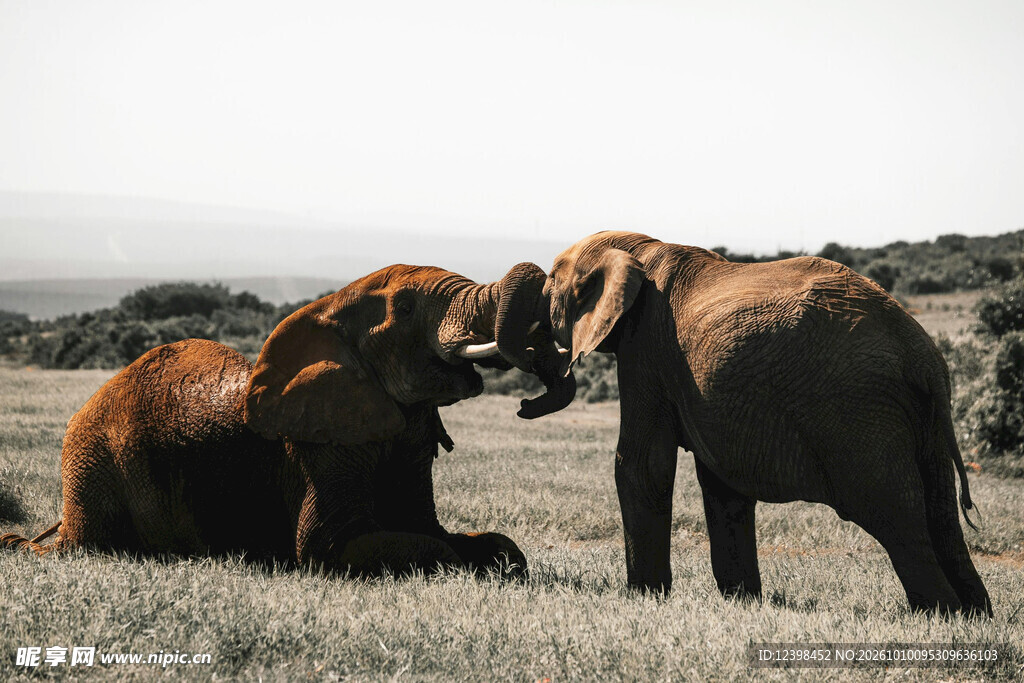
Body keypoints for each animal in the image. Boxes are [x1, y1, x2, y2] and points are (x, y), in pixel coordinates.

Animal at [1, 262, 572, 578]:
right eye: (407, 308)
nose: (528, 402)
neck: (330, 310)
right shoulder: (318, 444)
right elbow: (334, 546)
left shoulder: (408, 431)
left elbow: (460, 537)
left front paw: (492, 558)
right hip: (93, 458)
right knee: (83, 547)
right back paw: (20, 547)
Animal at [505, 230, 991, 615]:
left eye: (551, 281)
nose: (525, 405)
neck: (636, 247)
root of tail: (920, 353)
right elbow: (721, 484)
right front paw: (742, 601)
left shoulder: (645, 349)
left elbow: (641, 467)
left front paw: (644, 598)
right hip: (921, 418)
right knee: (940, 513)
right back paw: (974, 615)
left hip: (859, 413)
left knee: (893, 515)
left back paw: (940, 616)